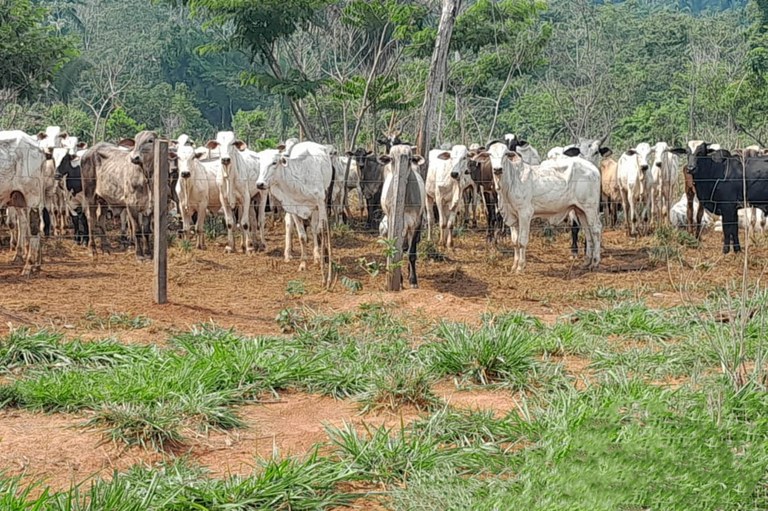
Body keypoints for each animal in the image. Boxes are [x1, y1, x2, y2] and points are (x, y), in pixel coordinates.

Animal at [0, 132, 47, 276]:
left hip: (32, 196)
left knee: (34, 226)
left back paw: (28, 266)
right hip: (19, 198)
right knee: (24, 224)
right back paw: (32, 262)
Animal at [256, 142, 332, 274]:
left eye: (274, 162)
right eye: (260, 163)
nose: (260, 184)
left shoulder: (319, 204)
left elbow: (318, 230)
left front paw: (320, 258)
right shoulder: (294, 208)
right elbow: (302, 236)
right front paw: (303, 264)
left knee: (318, 227)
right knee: (288, 224)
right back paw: (288, 253)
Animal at [480, 140, 600, 272]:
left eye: (505, 154)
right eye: (490, 154)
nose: (498, 169)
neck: (512, 181)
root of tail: (594, 168)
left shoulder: (525, 213)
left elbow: (522, 241)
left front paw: (520, 266)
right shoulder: (512, 216)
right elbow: (515, 241)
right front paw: (514, 265)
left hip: (590, 207)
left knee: (596, 229)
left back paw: (595, 262)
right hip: (580, 210)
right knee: (588, 232)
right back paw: (587, 262)